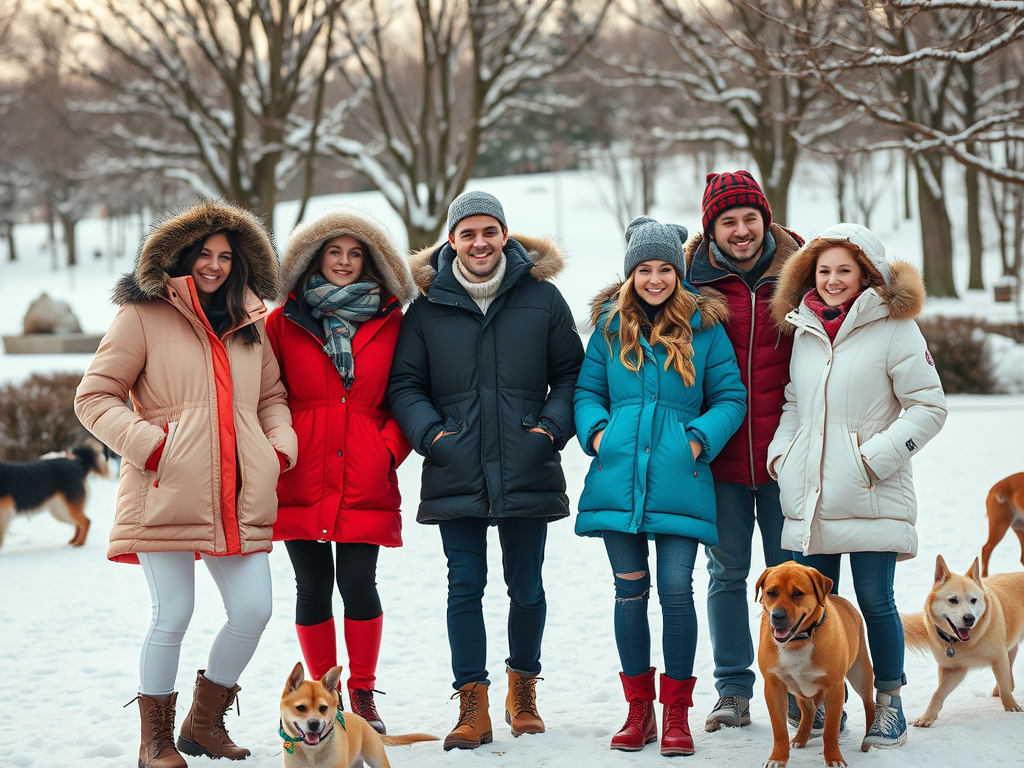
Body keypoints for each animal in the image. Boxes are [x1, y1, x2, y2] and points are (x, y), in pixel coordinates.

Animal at [278, 663, 438, 768]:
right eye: (300, 707)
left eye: (323, 708)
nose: (314, 724)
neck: (313, 751)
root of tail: (365, 722)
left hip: (376, 758)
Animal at [757, 561, 876, 765]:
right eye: (771, 592)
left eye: (798, 593)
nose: (777, 615)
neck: (798, 640)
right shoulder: (774, 687)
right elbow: (779, 730)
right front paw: (778, 758)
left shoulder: (834, 689)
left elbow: (830, 730)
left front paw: (834, 758)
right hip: (797, 688)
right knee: (809, 710)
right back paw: (800, 738)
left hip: (860, 673)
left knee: (869, 703)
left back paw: (869, 737)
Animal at [905, 561, 1024, 729]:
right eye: (953, 600)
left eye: (974, 600)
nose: (969, 618)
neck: (965, 642)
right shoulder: (953, 669)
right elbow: (938, 693)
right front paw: (927, 716)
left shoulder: (998, 658)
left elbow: (1005, 688)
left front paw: (1011, 707)